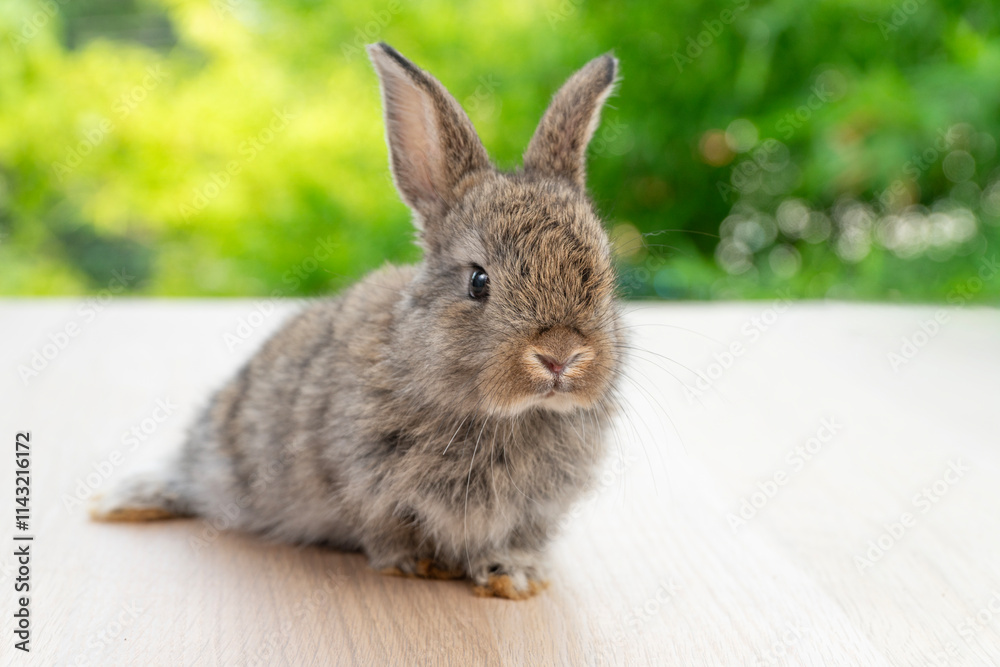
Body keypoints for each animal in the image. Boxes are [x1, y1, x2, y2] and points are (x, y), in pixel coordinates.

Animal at [90, 42, 625, 600]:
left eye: (604, 273)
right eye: (479, 281)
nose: (560, 356)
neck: (505, 415)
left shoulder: (536, 511)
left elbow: (516, 540)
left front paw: (514, 577)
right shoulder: (366, 485)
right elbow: (389, 529)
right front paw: (420, 564)